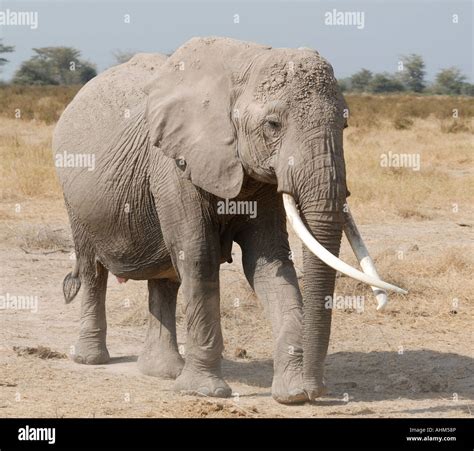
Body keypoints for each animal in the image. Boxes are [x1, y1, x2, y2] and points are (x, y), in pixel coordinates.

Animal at [54, 37, 404, 406]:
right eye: (273, 125)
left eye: (345, 126)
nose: (318, 391)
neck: (246, 63)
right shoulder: (174, 164)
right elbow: (199, 257)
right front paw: (206, 393)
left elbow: (269, 262)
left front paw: (293, 394)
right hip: (74, 198)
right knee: (94, 268)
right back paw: (91, 359)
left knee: (167, 275)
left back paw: (163, 372)